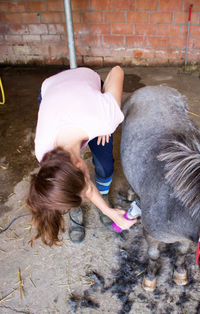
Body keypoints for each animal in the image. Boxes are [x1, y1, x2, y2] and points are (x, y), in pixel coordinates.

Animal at [120, 86, 200, 292]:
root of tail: (154, 88)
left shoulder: (185, 239)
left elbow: (181, 252)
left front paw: (180, 273)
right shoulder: (151, 234)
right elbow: (154, 255)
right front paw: (150, 278)